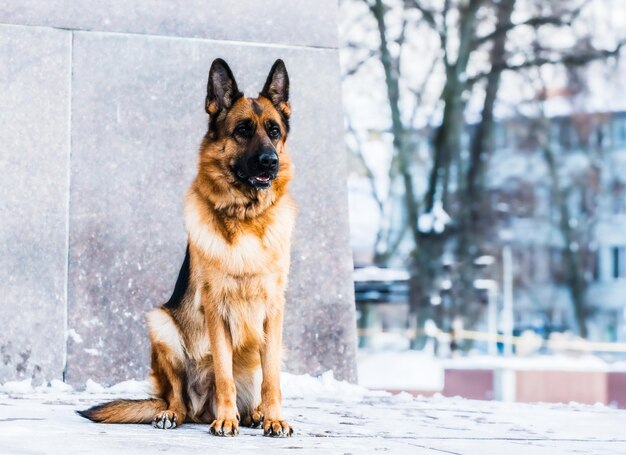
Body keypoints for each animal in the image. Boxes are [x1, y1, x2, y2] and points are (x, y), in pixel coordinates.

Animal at [77, 58, 294, 438]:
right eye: (242, 130)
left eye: (274, 130)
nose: (270, 161)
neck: (246, 218)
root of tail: (200, 409)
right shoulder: (216, 309)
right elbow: (224, 373)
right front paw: (227, 420)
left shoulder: (274, 311)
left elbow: (271, 380)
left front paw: (273, 418)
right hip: (161, 325)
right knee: (177, 396)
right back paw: (178, 414)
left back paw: (253, 413)